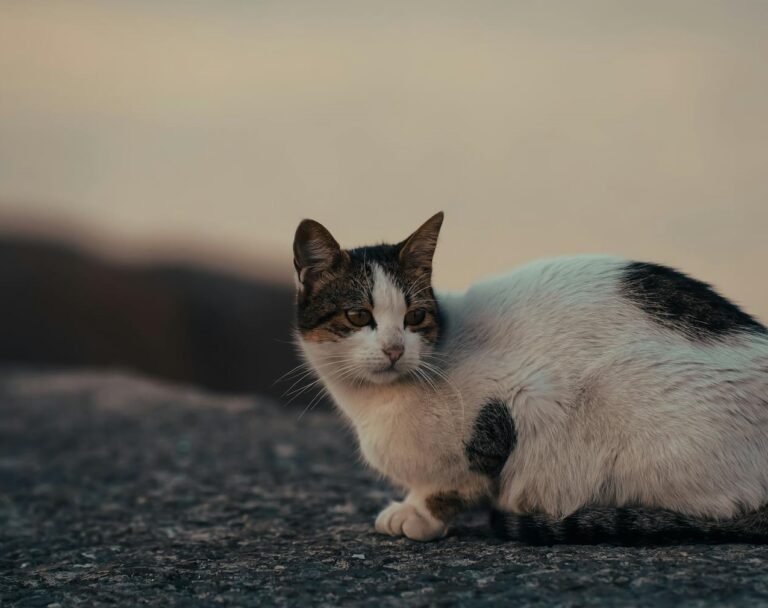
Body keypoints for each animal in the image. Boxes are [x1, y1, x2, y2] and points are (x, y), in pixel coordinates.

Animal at [292, 213, 768, 540]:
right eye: (359, 316)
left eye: (415, 317)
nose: (394, 348)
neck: (375, 404)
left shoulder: (522, 398)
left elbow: (456, 481)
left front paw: (420, 515)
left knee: (722, 509)